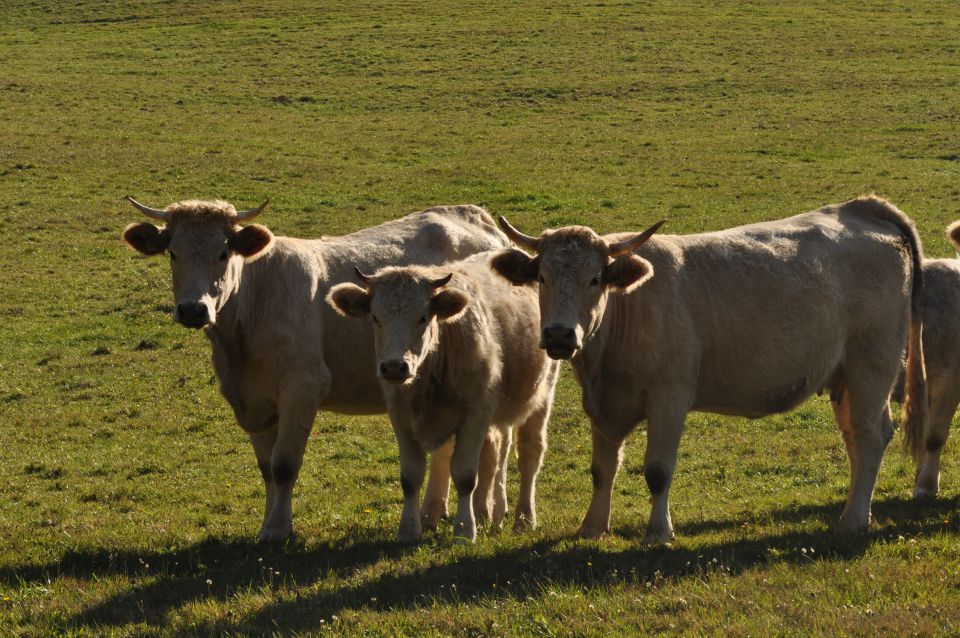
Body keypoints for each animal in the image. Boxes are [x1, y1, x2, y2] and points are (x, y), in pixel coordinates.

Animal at [122, 198, 510, 544]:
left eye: (223, 253)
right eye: (173, 253)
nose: (193, 309)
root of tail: (477, 217)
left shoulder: (302, 388)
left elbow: (284, 464)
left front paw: (278, 531)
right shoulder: (253, 400)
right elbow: (266, 469)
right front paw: (269, 524)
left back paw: (482, 514)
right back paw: (433, 514)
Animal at [328, 252, 560, 544]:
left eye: (423, 317)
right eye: (376, 318)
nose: (394, 367)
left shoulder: (475, 414)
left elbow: (465, 475)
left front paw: (464, 530)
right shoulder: (400, 416)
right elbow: (411, 476)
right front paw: (409, 529)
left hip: (541, 394)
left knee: (529, 453)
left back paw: (524, 518)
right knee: (494, 450)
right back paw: (486, 510)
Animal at [492, 196, 928, 544]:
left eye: (595, 278)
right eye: (542, 277)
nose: (560, 334)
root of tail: (860, 208)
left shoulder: (669, 399)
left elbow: (658, 470)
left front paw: (658, 532)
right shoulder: (603, 405)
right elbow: (602, 469)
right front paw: (592, 527)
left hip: (872, 364)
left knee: (871, 436)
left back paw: (853, 520)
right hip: (845, 378)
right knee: (855, 437)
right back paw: (855, 510)